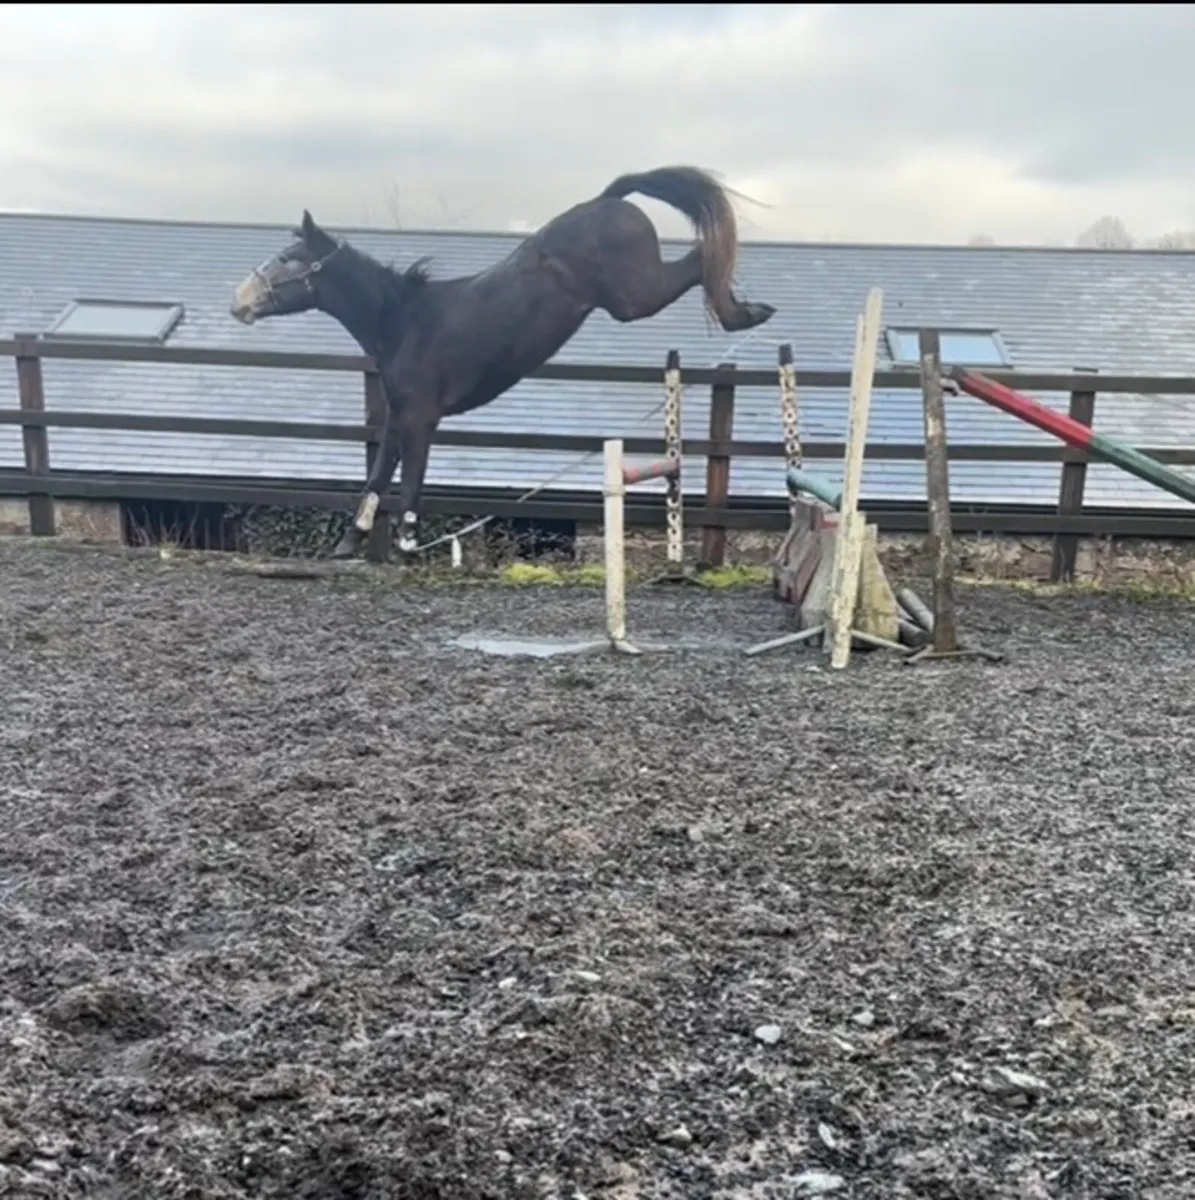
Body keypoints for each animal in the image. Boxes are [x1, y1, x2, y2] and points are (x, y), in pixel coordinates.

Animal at [229, 165, 776, 560]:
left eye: (290, 259)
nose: (239, 302)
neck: (402, 321)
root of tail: (610, 198)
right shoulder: (396, 418)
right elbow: (378, 477)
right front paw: (349, 543)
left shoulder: (422, 419)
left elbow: (409, 485)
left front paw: (405, 549)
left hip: (634, 296)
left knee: (701, 258)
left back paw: (748, 313)